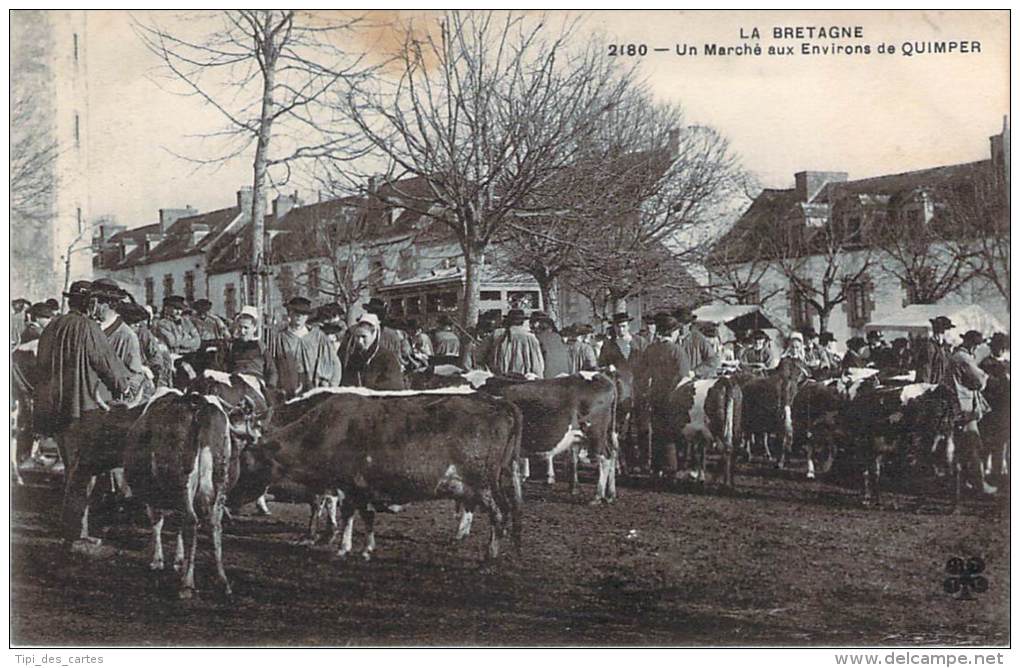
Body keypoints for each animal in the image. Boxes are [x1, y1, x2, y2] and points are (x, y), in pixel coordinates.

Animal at [121, 389, 257, 599]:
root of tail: (200, 403)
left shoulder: (153, 494)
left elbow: (158, 521)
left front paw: (158, 561)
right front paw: (178, 560)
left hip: (183, 478)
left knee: (191, 521)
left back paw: (187, 584)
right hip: (220, 477)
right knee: (214, 523)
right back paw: (222, 581)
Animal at [227, 389, 522, 562]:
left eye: (247, 464)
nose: (228, 501)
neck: (326, 432)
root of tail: (499, 405)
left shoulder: (348, 484)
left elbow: (348, 513)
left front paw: (342, 547)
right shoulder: (361, 486)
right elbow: (366, 516)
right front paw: (366, 548)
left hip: (482, 482)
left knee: (499, 512)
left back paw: (490, 555)